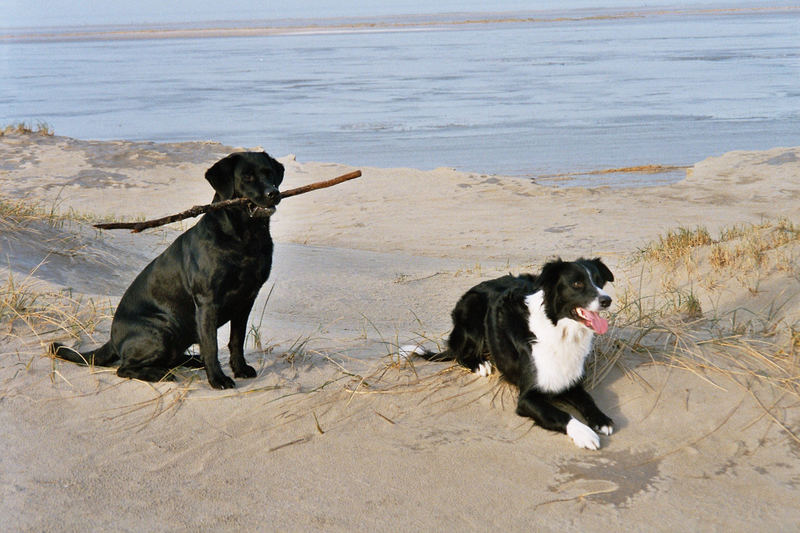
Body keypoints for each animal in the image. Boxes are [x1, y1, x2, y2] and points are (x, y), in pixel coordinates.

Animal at [50, 152, 284, 388]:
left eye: (269, 173)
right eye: (247, 177)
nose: (273, 193)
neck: (245, 237)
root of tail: (112, 339)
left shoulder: (246, 299)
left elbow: (236, 340)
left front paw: (240, 369)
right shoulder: (207, 301)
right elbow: (211, 345)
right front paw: (218, 379)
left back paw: (192, 361)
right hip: (164, 328)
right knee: (124, 368)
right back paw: (160, 373)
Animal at [406, 258, 620, 448]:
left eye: (599, 281)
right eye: (577, 283)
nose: (606, 300)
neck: (560, 329)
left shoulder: (570, 380)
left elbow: (587, 399)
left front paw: (601, 419)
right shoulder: (527, 398)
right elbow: (563, 415)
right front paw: (585, 434)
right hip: (473, 309)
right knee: (460, 355)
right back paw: (479, 364)